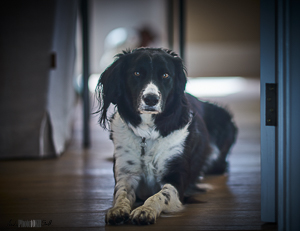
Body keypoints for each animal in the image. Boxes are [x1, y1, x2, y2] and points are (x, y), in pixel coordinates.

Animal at [95, 47, 237, 226]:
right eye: (136, 73)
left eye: (165, 75)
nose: (151, 99)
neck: (147, 135)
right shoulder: (127, 174)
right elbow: (121, 193)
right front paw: (117, 209)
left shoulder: (176, 177)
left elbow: (162, 194)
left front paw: (145, 210)